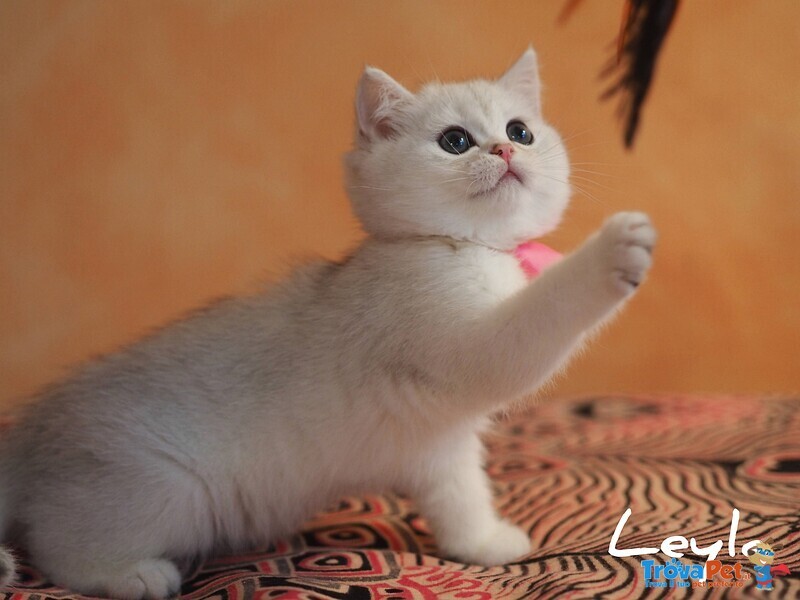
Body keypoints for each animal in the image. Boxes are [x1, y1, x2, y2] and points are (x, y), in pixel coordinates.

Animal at [0, 49, 656, 596]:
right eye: (455, 140)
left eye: (521, 130)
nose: (505, 151)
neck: (464, 248)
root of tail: (29, 434)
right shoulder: (465, 342)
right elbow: (541, 312)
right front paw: (614, 251)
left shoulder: (439, 442)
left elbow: (460, 497)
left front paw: (485, 543)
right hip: (165, 490)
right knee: (53, 546)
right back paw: (133, 575)